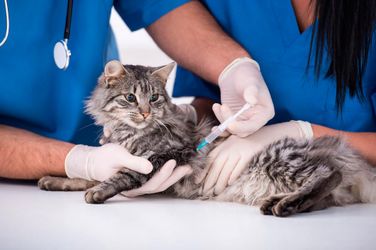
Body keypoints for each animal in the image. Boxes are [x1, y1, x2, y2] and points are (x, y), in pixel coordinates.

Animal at [38, 60, 376, 217]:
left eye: (155, 98)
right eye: (131, 98)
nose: (146, 112)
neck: (129, 133)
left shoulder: (168, 156)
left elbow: (122, 175)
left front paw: (98, 192)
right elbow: (89, 174)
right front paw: (56, 180)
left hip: (279, 159)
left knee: (329, 175)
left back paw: (285, 204)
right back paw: (280, 202)